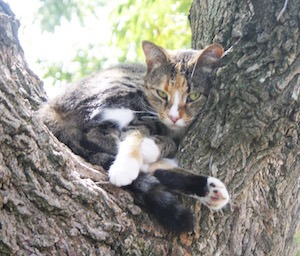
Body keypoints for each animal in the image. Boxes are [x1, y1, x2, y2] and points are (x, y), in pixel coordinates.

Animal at [38, 41, 229, 233]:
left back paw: (211, 190)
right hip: (125, 92)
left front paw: (152, 147)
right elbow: (135, 135)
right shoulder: (145, 114)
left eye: (193, 96)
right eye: (161, 94)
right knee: (98, 135)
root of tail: (50, 109)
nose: (174, 117)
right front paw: (128, 164)